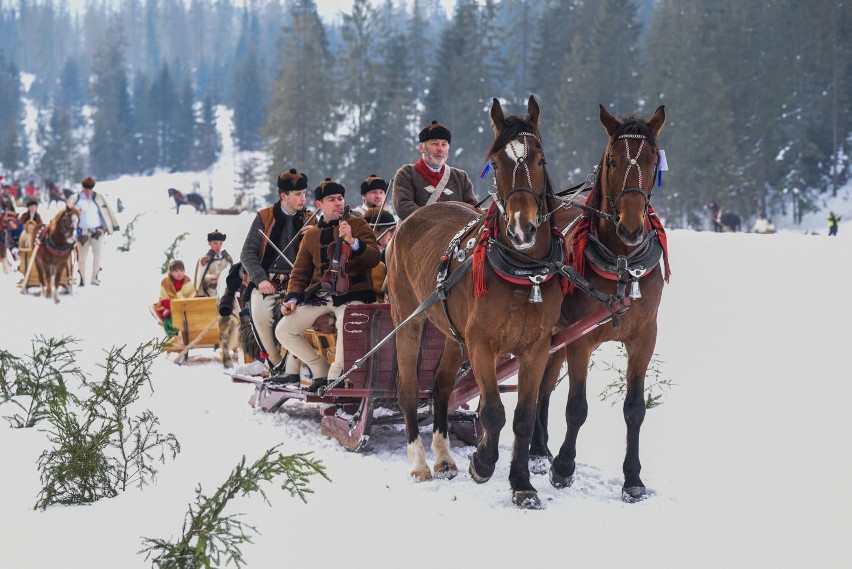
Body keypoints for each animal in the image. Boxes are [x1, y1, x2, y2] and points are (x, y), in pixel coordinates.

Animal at [388, 95, 564, 508]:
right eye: (496, 163)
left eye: (541, 160)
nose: (522, 228)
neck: (523, 271)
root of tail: (408, 222)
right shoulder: (482, 344)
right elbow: (494, 411)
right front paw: (482, 463)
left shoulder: (536, 348)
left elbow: (523, 416)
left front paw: (522, 485)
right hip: (409, 319)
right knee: (408, 389)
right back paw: (419, 463)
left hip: (453, 334)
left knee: (440, 387)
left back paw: (443, 457)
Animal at [528, 103, 668, 502]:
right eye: (612, 160)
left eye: (653, 159)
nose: (631, 227)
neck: (621, 262)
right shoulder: (581, 340)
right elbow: (577, 407)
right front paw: (563, 467)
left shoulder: (645, 338)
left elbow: (635, 409)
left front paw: (633, 479)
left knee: (543, 385)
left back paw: (538, 449)